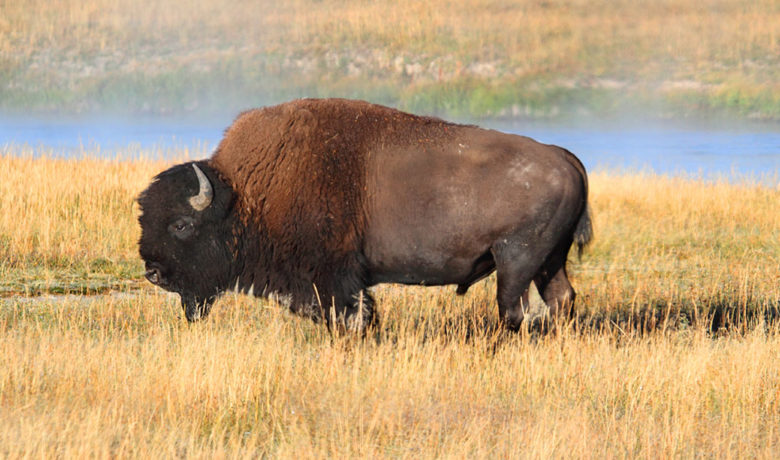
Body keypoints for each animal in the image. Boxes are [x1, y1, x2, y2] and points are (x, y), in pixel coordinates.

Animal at [138, 98, 592, 331]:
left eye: (181, 224)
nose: (154, 272)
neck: (245, 196)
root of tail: (563, 156)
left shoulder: (334, 278)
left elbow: (351, 315)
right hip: (548, 260)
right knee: (560, 298)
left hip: (515, 259)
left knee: (513, 309)